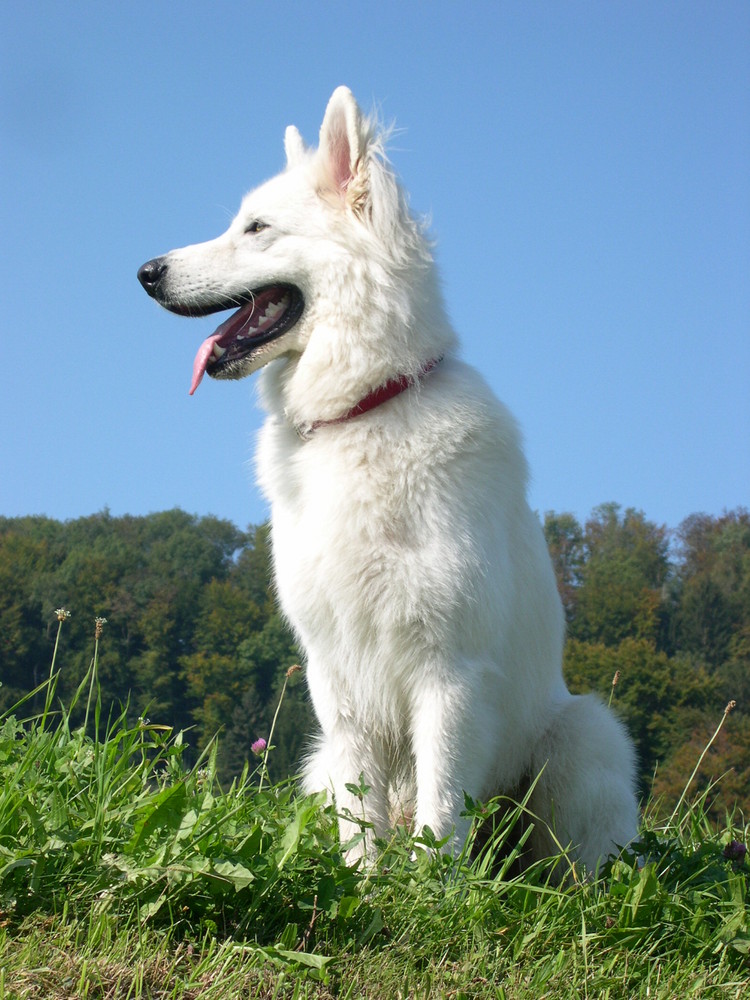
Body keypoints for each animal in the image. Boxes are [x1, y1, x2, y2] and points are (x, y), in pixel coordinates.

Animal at [138, 84, 636, 868]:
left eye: (256, 227)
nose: (146, 272)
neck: (363, 411)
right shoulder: (336, 677)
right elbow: (359, 809)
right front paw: (361, 878)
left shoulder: (449, 673)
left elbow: (441, 804)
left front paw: (432, 885)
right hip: (318, 759)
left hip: (586, 737)